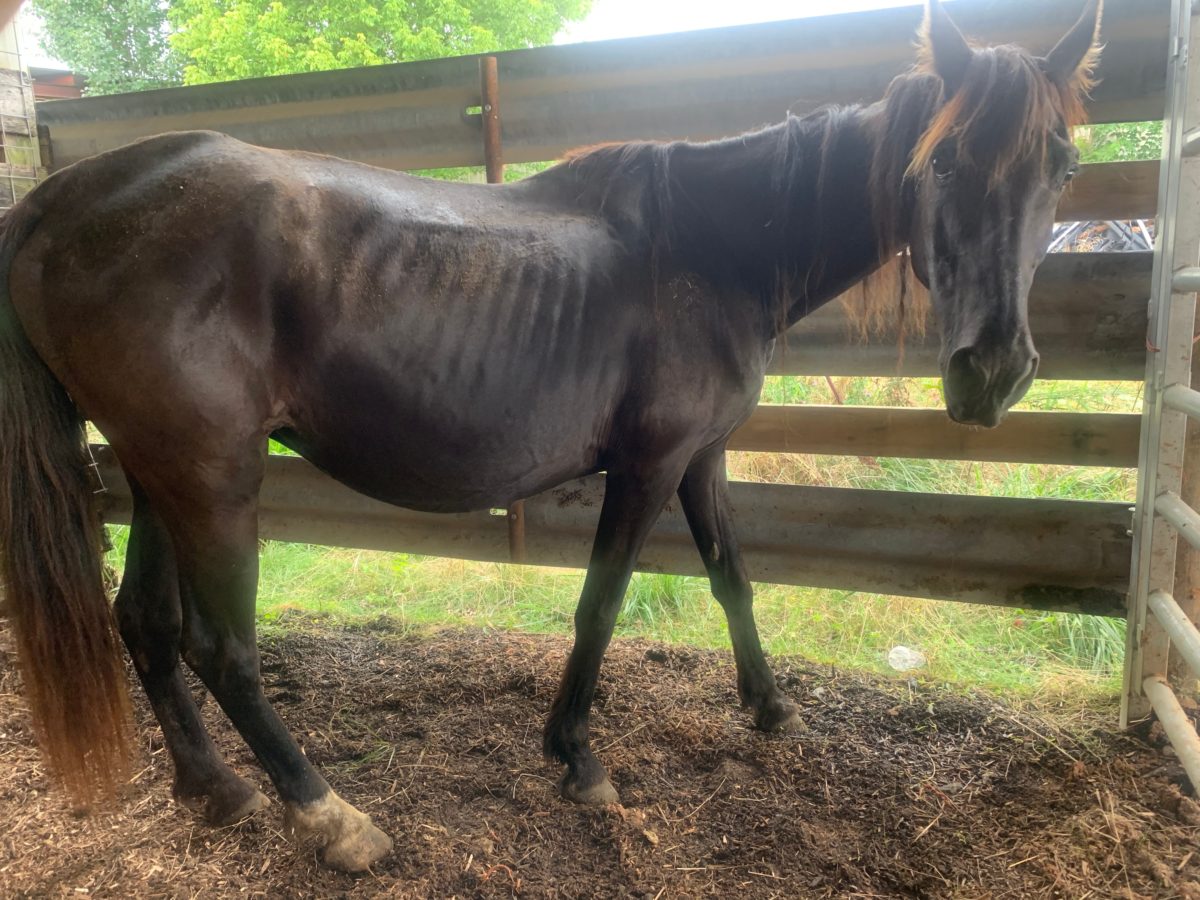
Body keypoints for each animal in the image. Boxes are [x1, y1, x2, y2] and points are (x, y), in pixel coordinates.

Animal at [0, 0, 1101, 873]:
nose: (995, 371)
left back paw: (214, 793)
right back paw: (330, 818)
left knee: (145, 625)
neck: (715, 246)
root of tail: (61, 199)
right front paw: (577, 757)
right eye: (945, 159)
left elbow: (732, 578)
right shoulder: (649, 466)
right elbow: (601, 607)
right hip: (215, 478)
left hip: (159, 472)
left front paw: (772, 707)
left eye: (1062, 166)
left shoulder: (703, 457)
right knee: (221, 648)